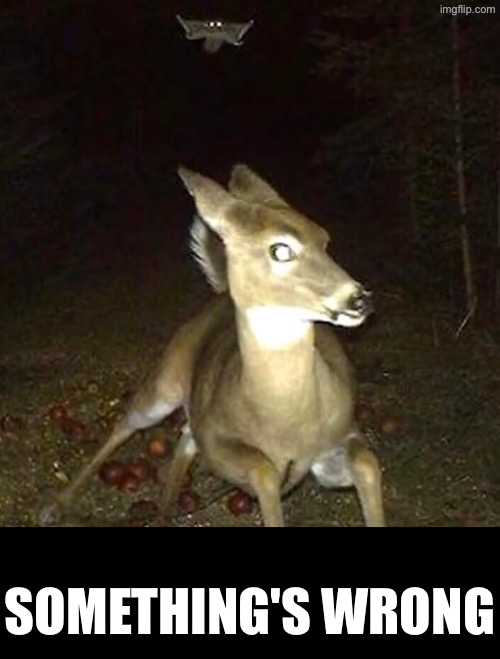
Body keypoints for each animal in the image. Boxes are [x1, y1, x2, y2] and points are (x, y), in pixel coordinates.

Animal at [40, 164, 385, 527]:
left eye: (324, 239)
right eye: (280, 249)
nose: (359, 299)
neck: (284, 422)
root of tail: (220, 295)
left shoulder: (341, 434)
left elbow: (368, 464)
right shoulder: (216, 441)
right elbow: (263, 470)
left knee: (183, 436)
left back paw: (165, 508)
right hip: (166, 379)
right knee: (128, 422)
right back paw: (56, 505)